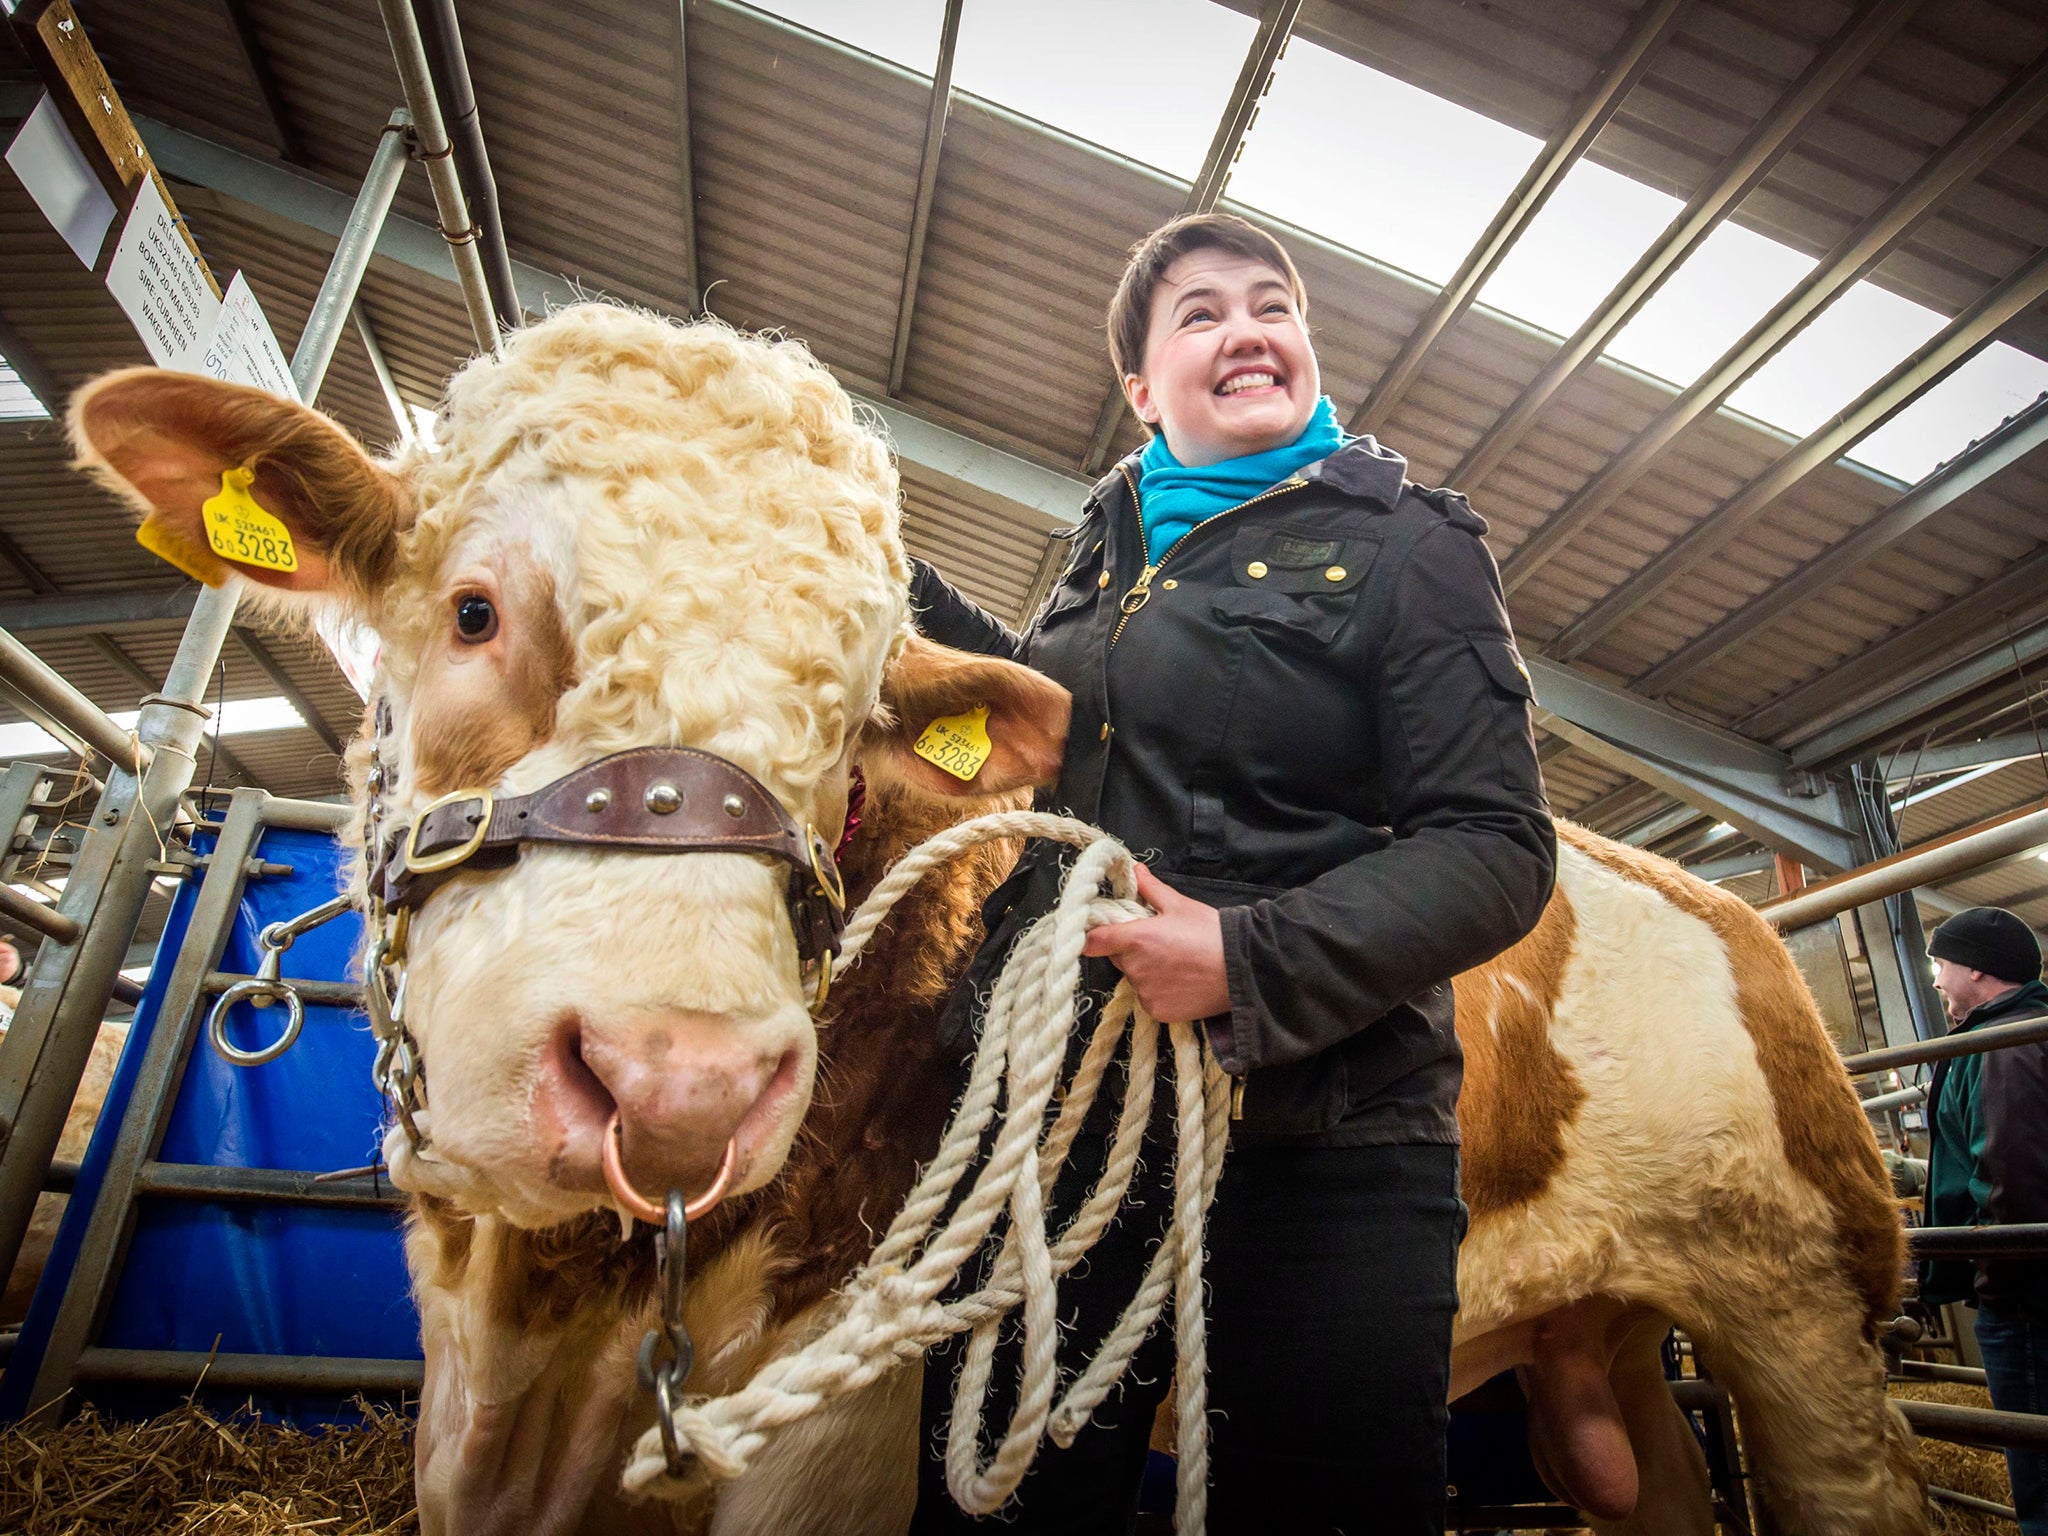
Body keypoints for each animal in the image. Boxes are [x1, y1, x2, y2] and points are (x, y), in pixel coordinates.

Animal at [64, 303, 1916, 1536]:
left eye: (851, 723)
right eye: (470, 609)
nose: (677, 1086)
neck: (554, 1322)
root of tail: (1732, 909)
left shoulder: (838, 1445)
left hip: (1805, 1321)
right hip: (1601, 1361)